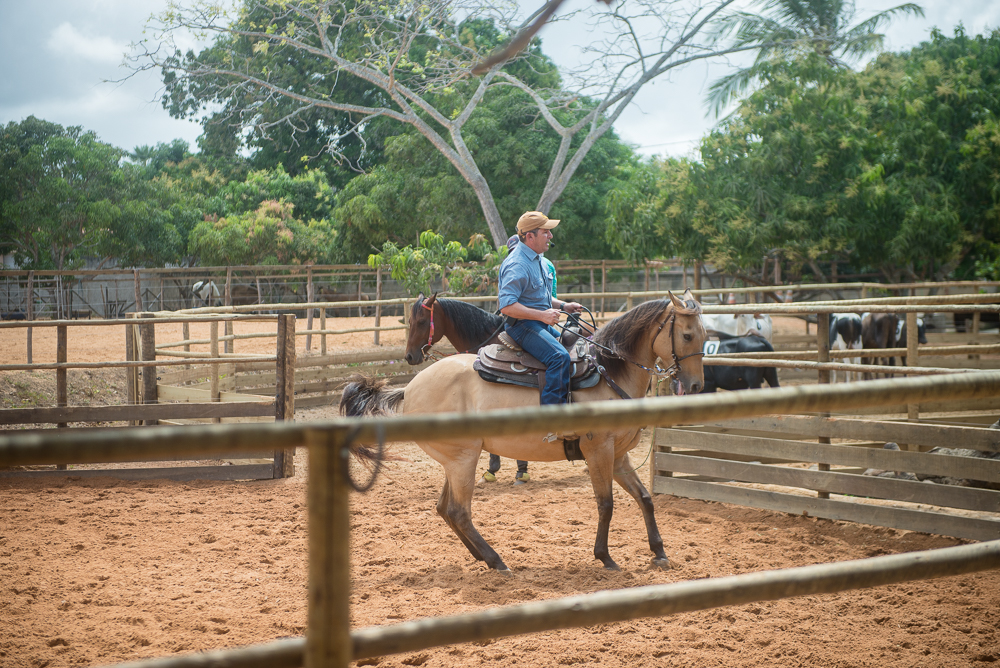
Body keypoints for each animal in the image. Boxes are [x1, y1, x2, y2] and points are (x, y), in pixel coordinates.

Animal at [348, 290, 708, 572]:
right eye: (687, 336)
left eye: (704, 336)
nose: (695, 386)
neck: (607, 370)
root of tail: (409, 388)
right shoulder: (599, 451)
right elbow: (605, 504)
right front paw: (605, 556)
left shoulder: (618, 456)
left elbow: (644, 498)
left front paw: (659, 551)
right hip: (463, 459)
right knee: (458, 511)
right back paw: (496, 560)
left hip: (455, 461)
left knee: (444, 509)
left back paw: (481, 556)